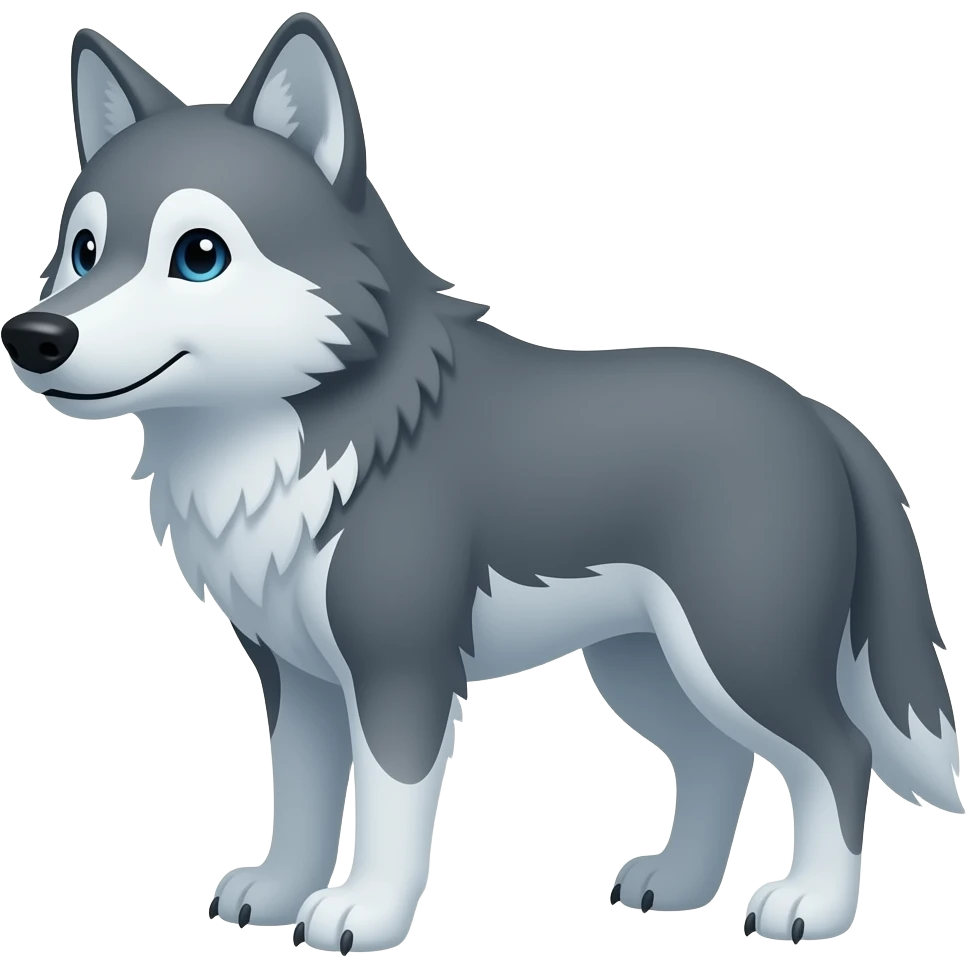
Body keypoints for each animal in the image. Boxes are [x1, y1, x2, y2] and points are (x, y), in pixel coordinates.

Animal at [2, 12, 962, 954]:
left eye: (198, 254)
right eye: (83, 250)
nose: (35, 337)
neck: (288, 441)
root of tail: (816, 413)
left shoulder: (400, 665)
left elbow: (389, 806)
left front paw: (364, 914)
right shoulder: (295, 674)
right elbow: (302, 796)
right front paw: (277, 892)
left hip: (739, 653)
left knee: (838, 754)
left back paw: (813, 906)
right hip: (645, 665)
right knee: (716, 758)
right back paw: (680, 885)